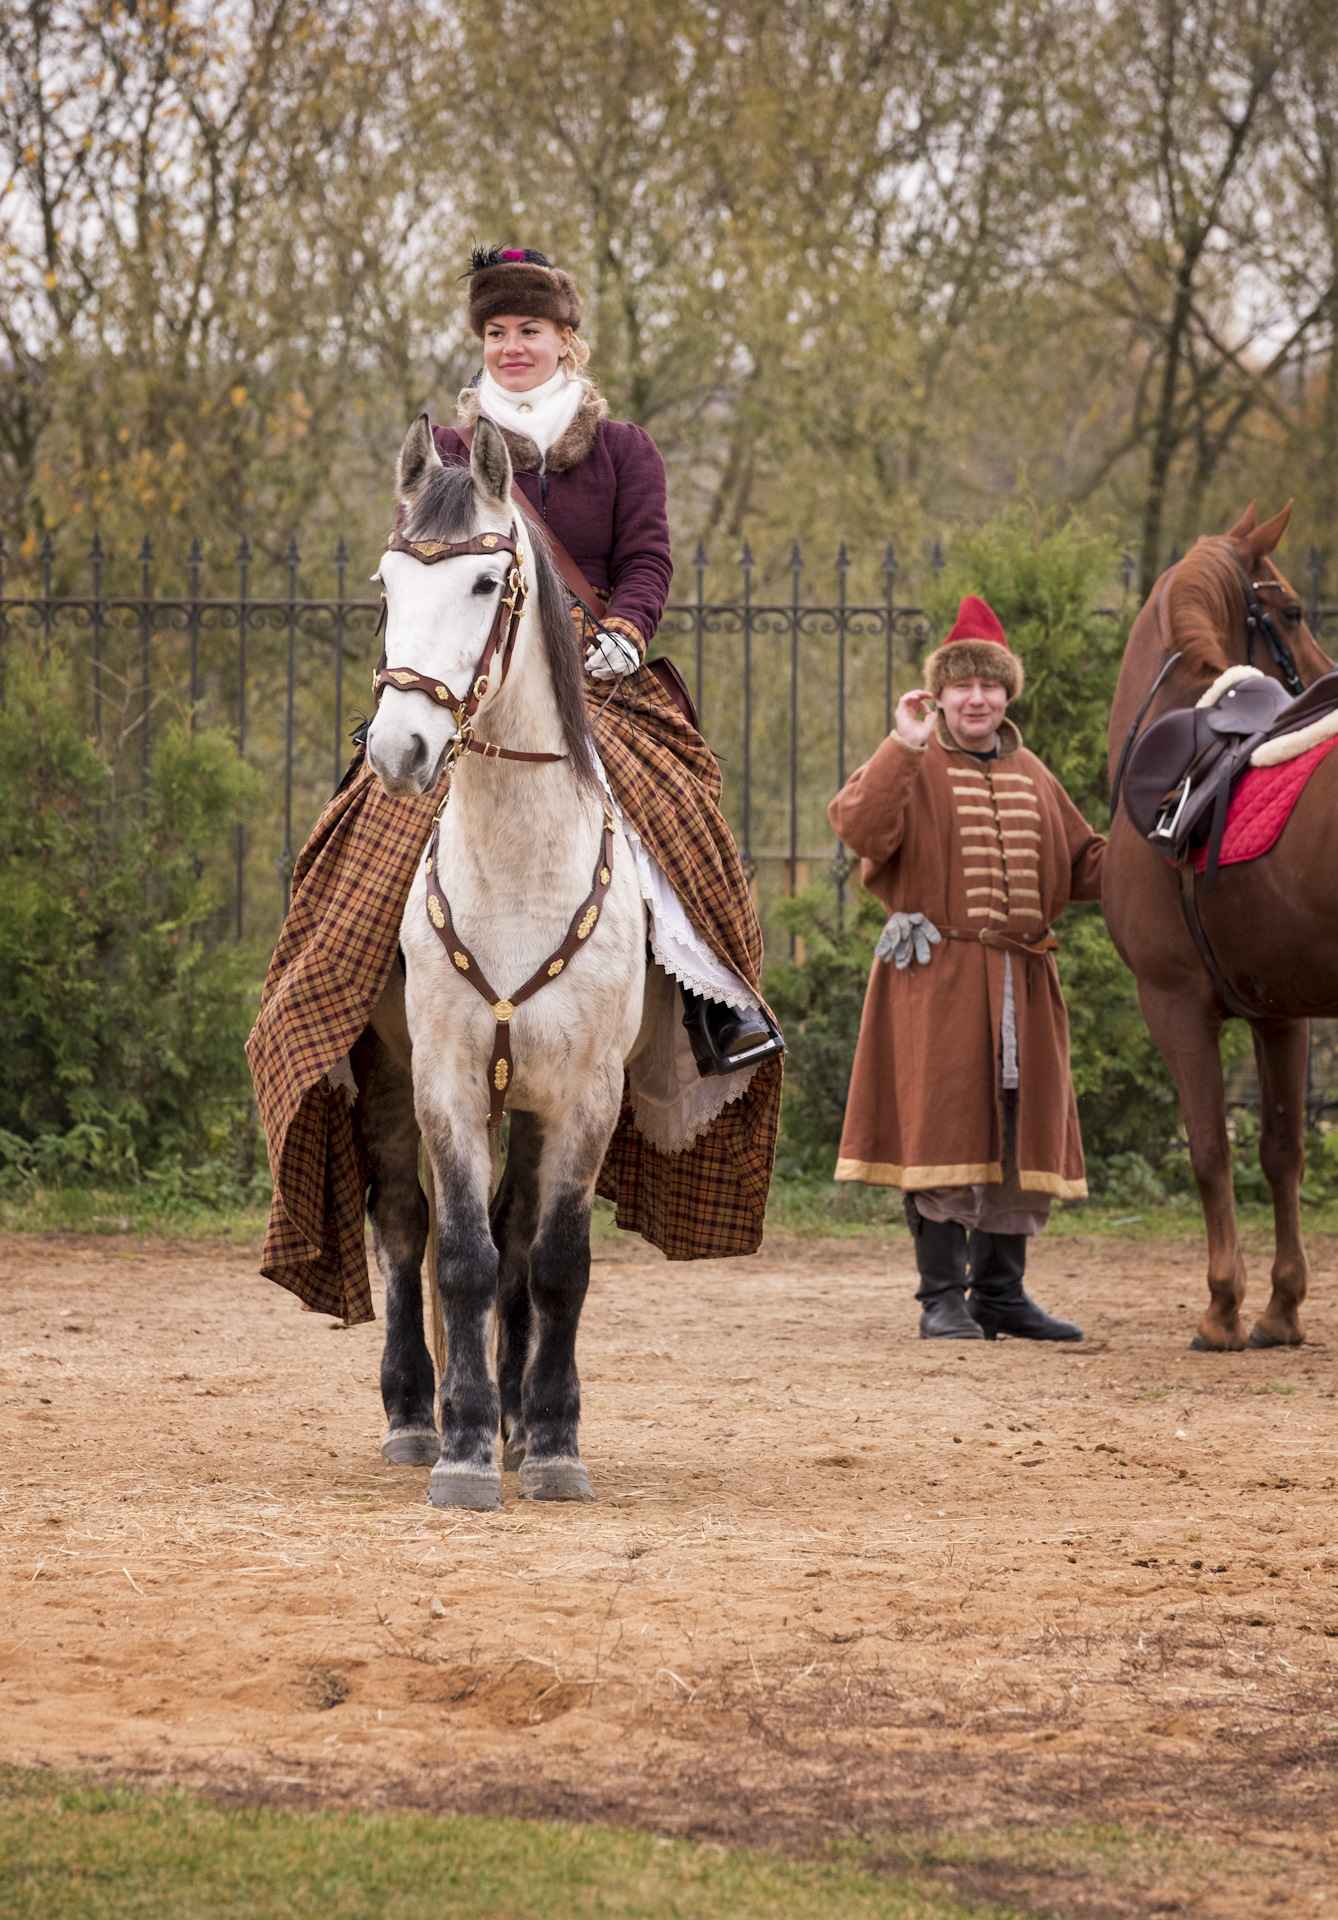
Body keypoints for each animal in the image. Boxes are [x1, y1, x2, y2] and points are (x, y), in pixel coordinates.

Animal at [1098, 506, 1328, 1351]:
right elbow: (1279, 1149)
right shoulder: (1280, 1013)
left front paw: (1223, 1305)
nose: (1323, 668)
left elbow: (1208, 1149)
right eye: (1290, 610)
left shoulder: (1173, 1004)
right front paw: (1281, 1306)